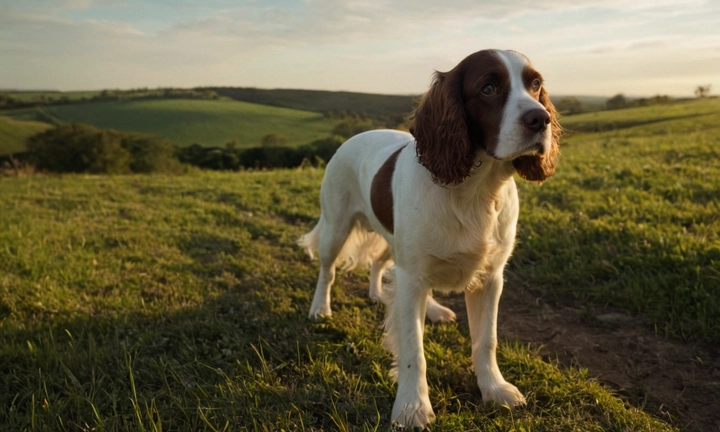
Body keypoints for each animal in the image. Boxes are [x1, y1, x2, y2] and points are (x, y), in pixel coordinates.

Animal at [298, 49, 564, 426]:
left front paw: (494, 388)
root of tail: (351, 137)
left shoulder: (490, 278)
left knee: (381, 265)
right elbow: (414, 350)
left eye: (535, 84)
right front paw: (412, 407)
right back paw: (321, 308)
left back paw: (400, 300)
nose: (540, 119)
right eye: (488, 87)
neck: (476, 191)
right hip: (337, 226)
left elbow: (486, 340)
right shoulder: (412, 277)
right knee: (328, 271)